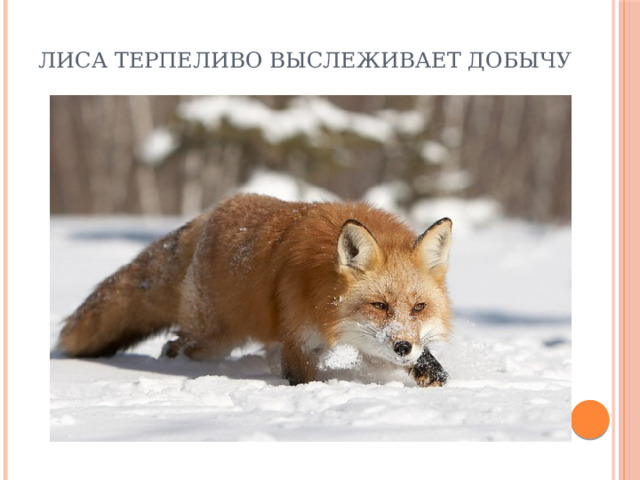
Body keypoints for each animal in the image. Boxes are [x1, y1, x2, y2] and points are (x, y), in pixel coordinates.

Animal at [58, 193, 453, 387]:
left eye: (418, 308)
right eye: (379, 305)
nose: (403, 347)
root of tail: (211, 214)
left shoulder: (365, 340)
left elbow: (425, 361)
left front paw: (431, 374)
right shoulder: (298, 341)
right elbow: (303, 381)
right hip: (215, 337)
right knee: (174, 345)